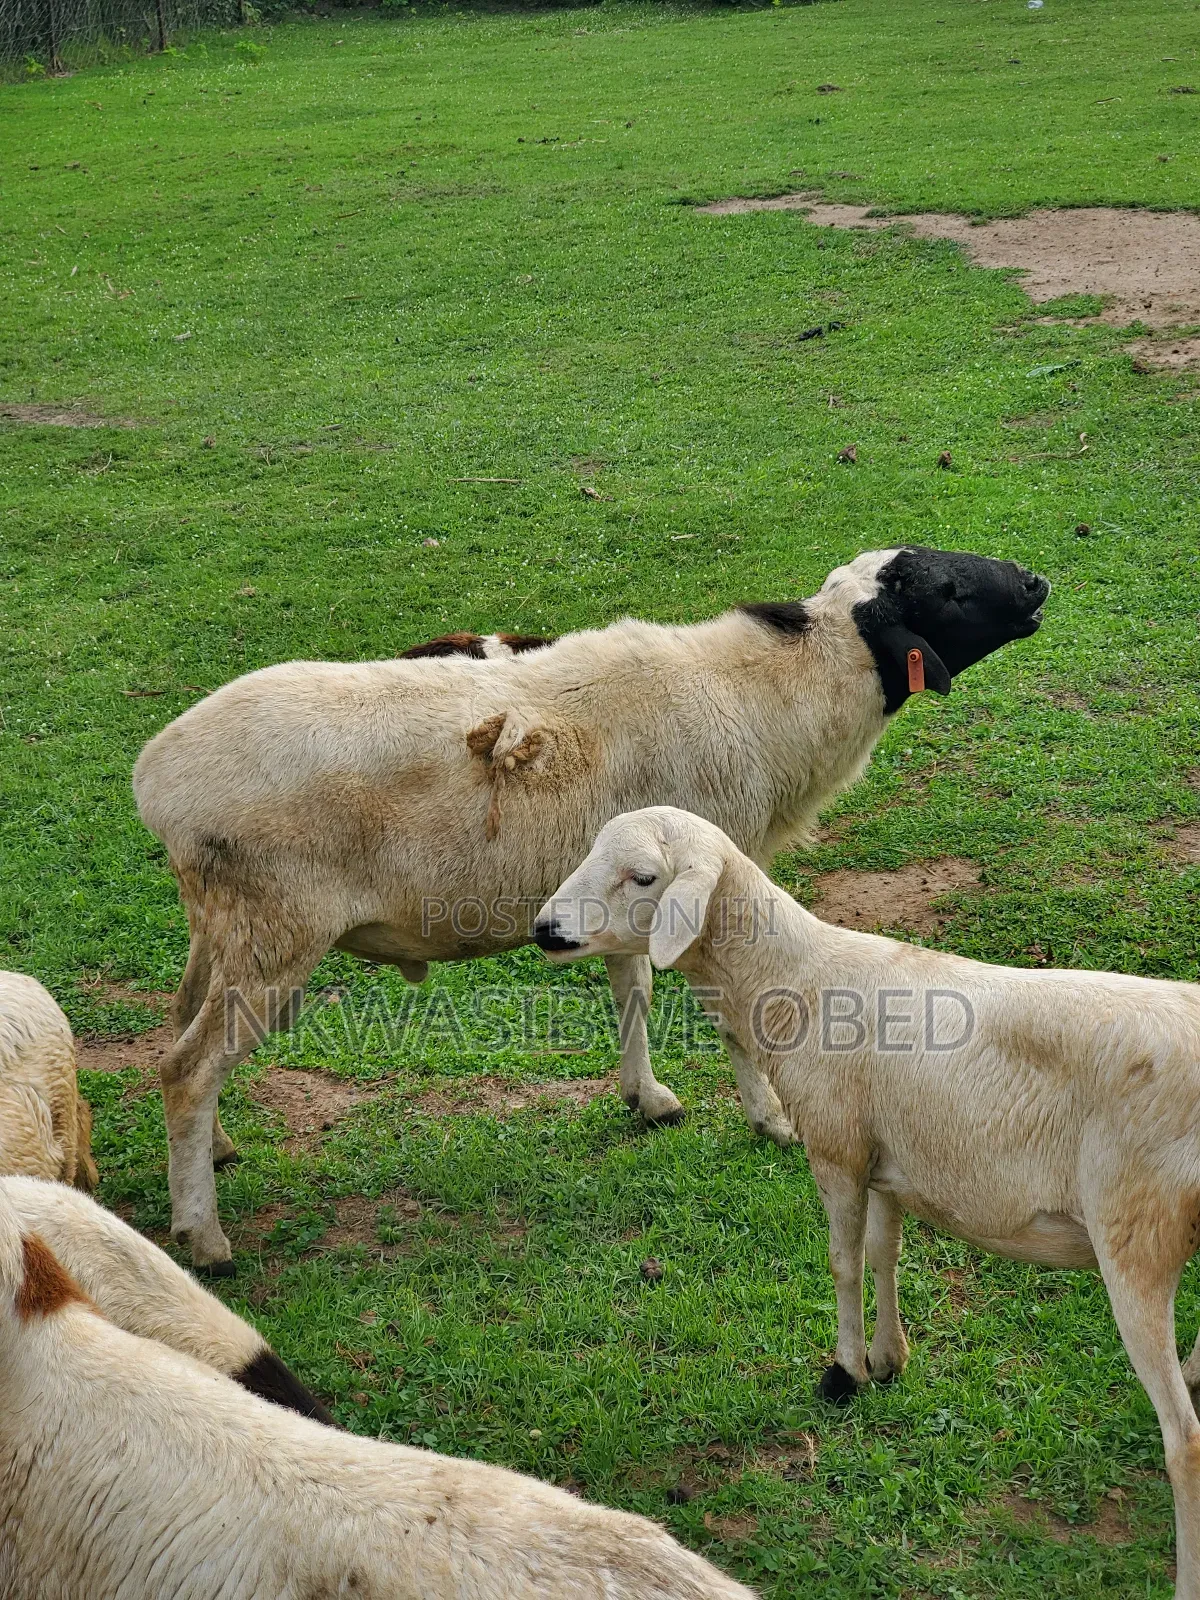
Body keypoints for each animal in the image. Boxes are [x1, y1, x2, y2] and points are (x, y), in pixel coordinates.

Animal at [133, 545, 1048, 1268]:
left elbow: (630, 989)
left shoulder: (633, 888)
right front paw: (770, 1120)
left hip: (224, 924)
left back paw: (215, 1151)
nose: (1037, 582)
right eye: (948, 592)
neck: (772, 699)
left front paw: (646, 1098)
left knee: (180, 1030)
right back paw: (203, 1236)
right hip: (275, 926)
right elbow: (730, 1016)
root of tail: (157, 782)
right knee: (187, 1069)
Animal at [535, 805, 1200, 1599]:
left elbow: (844, 1261)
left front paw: (845, 1371)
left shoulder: (838, 1148)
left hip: (1137, 1231)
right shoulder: (889, 1164)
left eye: (642, 877)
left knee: (1186, 1441)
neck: (795, 980)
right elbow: (885, 1255)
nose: (545, 929)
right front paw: (888, 1359)